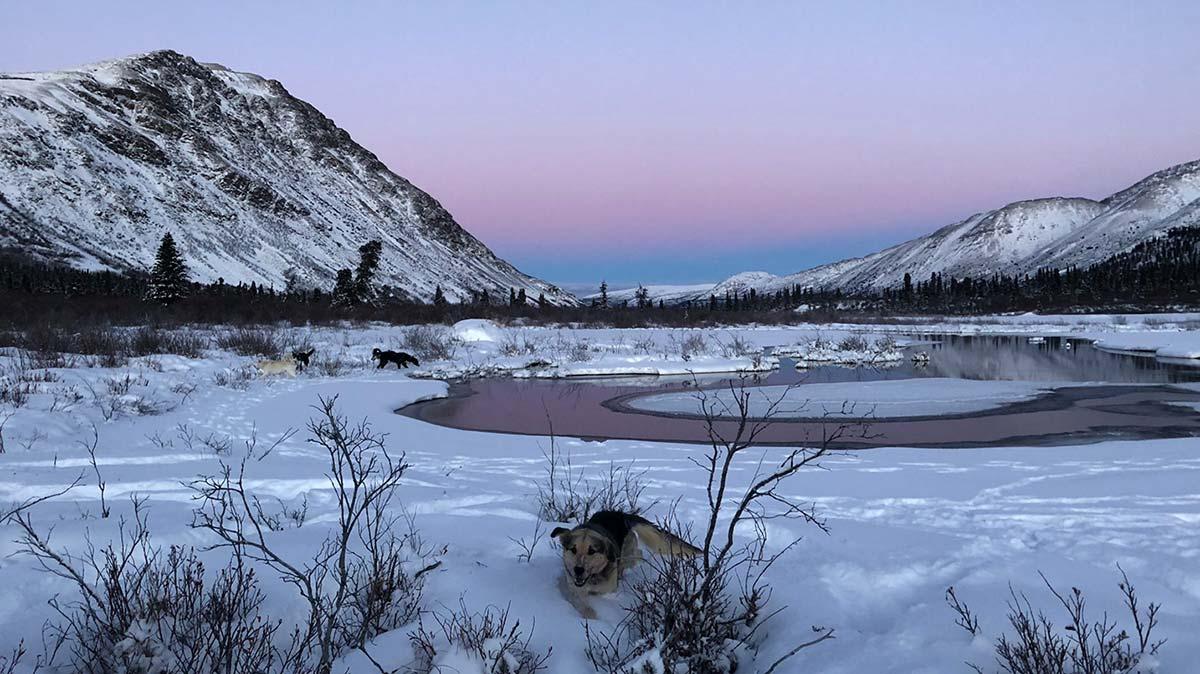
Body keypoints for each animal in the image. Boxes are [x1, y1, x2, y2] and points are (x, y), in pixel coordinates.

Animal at [549, 508, 700, 614]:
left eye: (592, 551)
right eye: (573, 549)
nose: (578, 570)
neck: (593, 577)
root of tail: (621, 515)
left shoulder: (608, 589)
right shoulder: (576, 591)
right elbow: (583, 605)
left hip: (627, 553)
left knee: (637, 555)